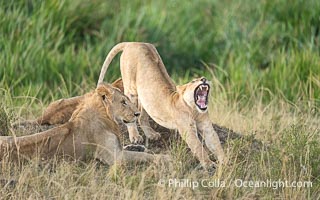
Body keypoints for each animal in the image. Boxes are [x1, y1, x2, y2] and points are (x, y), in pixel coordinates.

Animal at [0, 83, 158, 165]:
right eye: (123, 102)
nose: (137, 114)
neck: (106, 117)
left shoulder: (117, 150)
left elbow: (132, 149)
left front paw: (138, 146)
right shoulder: (115, 158)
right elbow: (143, 157)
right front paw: (162, 158)